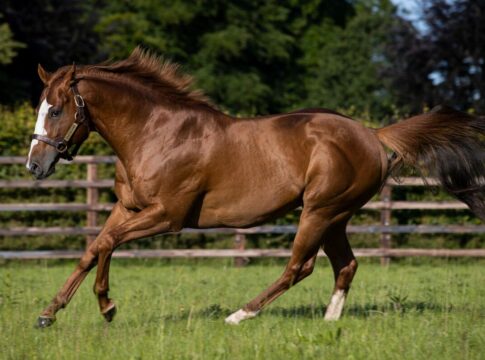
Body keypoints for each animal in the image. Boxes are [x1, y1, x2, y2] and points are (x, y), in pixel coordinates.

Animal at [27, 49, 484, 328]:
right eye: (40, 107)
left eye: (56, 109)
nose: (35, 165)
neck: (156, 134)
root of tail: (372, 135)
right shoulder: (128, 208)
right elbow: (93, 248)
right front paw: (49, 313)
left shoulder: (168, 216)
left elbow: (107, 245)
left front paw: (107, 306)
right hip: (336, 217)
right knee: (345, 265)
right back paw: (329, 323)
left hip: (319, 211)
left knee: (300, 266)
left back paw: (240, 315)